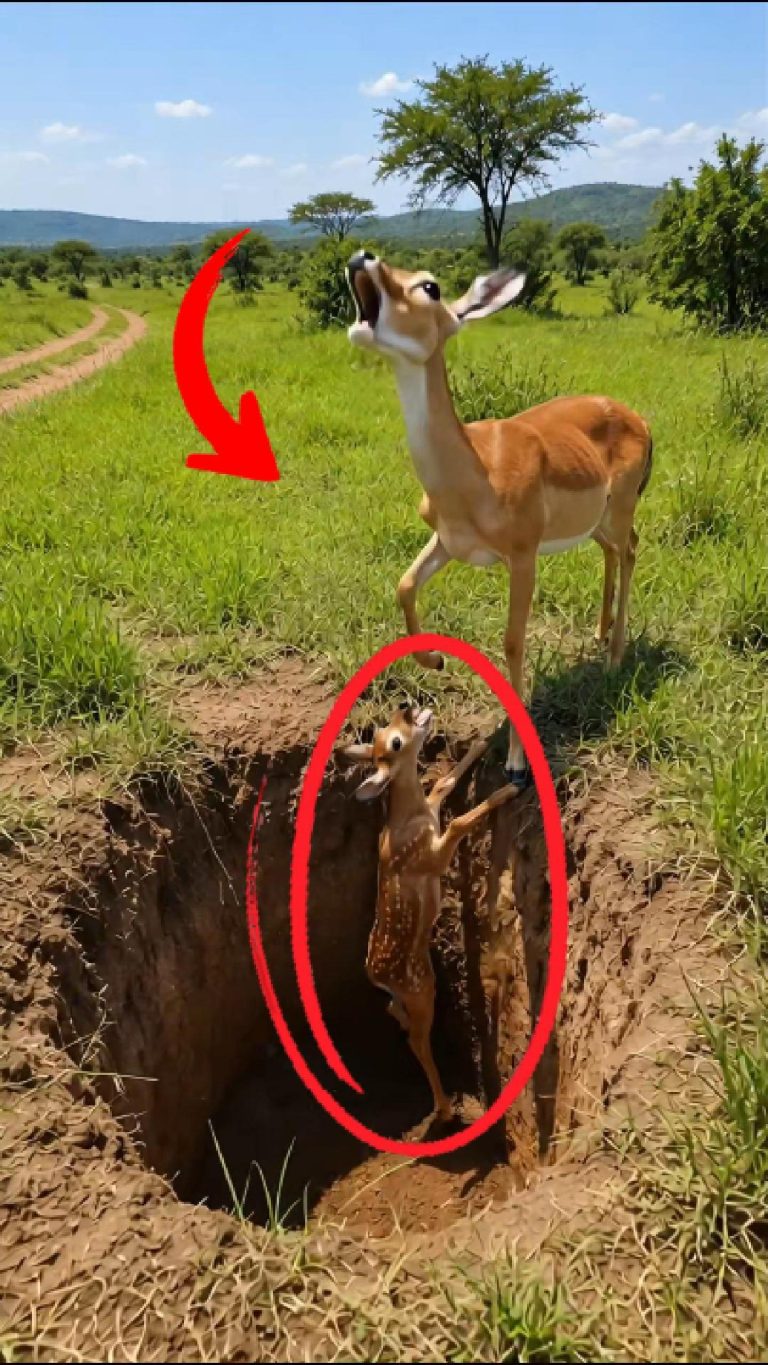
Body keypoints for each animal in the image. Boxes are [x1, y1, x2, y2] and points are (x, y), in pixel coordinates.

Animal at [342, 701, 515, 1123]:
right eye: (394, 740)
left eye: (383, 729)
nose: (405, 707)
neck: (412, 815)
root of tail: (376, 976)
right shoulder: (429, 857)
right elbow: (458, 821)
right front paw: (508, 790)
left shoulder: (434, 808)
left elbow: (444, 784)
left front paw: (482, 745)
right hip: (422, 987)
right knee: (419, 1042)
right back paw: (445, 1109)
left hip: (413, 990)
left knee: (394, 1012)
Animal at [345, 251, 654, 789]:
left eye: (429, 286)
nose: (362, 256)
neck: (475, 472)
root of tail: (640, 419)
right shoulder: (447, 542)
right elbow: (404, 584)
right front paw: (436, 660)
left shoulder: (522, 557)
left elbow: (512, 642)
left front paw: (515, 761)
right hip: (596, 523)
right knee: (613, 552)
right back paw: (599, 635)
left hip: (617, 510)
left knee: (631, 548)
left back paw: (615, 658)